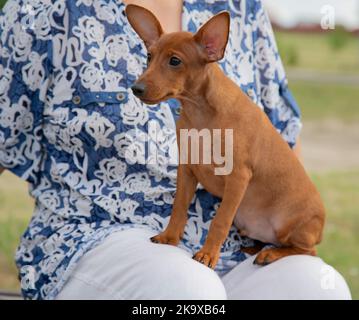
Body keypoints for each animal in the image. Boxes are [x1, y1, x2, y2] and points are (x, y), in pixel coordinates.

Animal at [126, 5, 326, 268]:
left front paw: (208, 254)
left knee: (307, 251)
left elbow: (220, 221)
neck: (200, 114)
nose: (136, 89)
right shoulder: (187, 170)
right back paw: (254, 248)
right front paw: (169, 237)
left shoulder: (238, 177)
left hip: (289, 227)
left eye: (175, 61)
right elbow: (179, 208)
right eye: (149, 57)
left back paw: (271, 253)